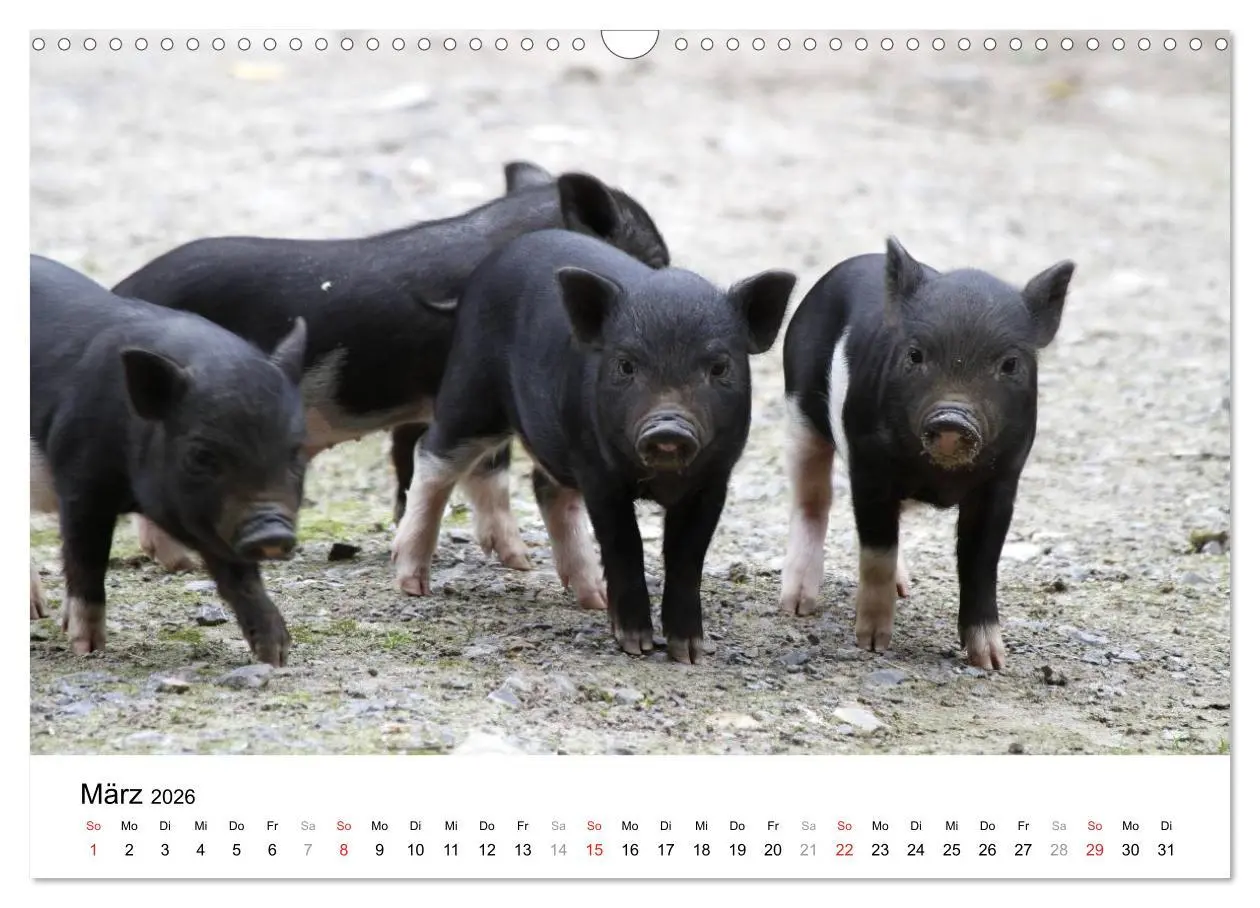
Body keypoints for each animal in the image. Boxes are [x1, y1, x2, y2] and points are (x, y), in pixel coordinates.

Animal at [30, 254, 308, 666]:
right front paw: (88, 649)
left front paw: (275, 655)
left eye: (296, 451)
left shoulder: (215, 517)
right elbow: (86, 558)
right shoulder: (80, 481)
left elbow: (238, 575)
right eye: (201, 454)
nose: (271, 532)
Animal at [110, 160, 670, 576]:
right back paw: (183, 562)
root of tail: (122, 289)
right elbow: (487, 471)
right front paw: (520, 562)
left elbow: (419, 466)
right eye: (654, 259)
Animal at [391, 229, 796, 663]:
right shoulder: (599, 472)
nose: (668, 428)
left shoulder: (715, 478)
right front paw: (636, 646)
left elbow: (688, 558)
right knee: (432, 455)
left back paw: (593, 599)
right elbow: (623, 546)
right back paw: (412, 583)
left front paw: (688, 653)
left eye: (719, 367)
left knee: (546, 488)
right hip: (471, 389)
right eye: (626, 364)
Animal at [778, 238, 1074, 670]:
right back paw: (797, 605)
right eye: (915, 355)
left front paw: (992, 662)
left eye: (1010, 363)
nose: (953, 418)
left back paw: (906, 589)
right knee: (812, 501)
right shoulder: (869, 465)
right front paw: (872, 645)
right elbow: (877, 551)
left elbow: (981, 562)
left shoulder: (1004, 478)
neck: (941, 476)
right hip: (800, 413)